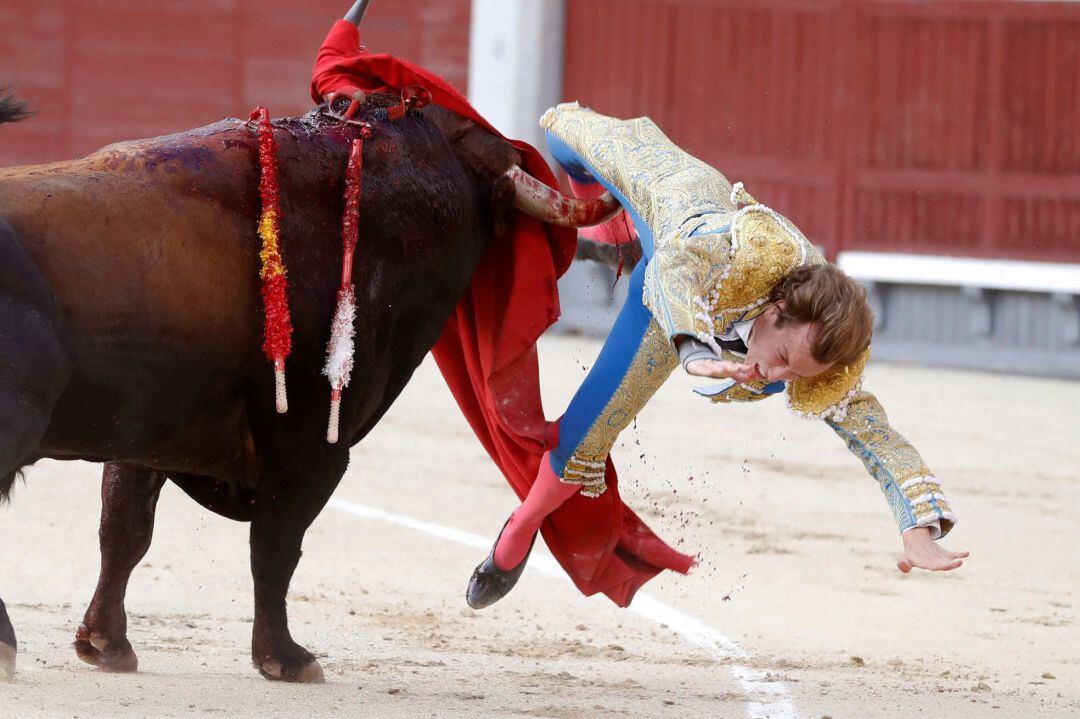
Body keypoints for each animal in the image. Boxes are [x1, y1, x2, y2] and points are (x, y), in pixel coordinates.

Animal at [0, 86, 617, 682]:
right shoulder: (311, 448)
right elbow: (274, 549)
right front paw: (285, 658)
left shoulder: (145, 430)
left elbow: (124, 529)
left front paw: (105, 643)